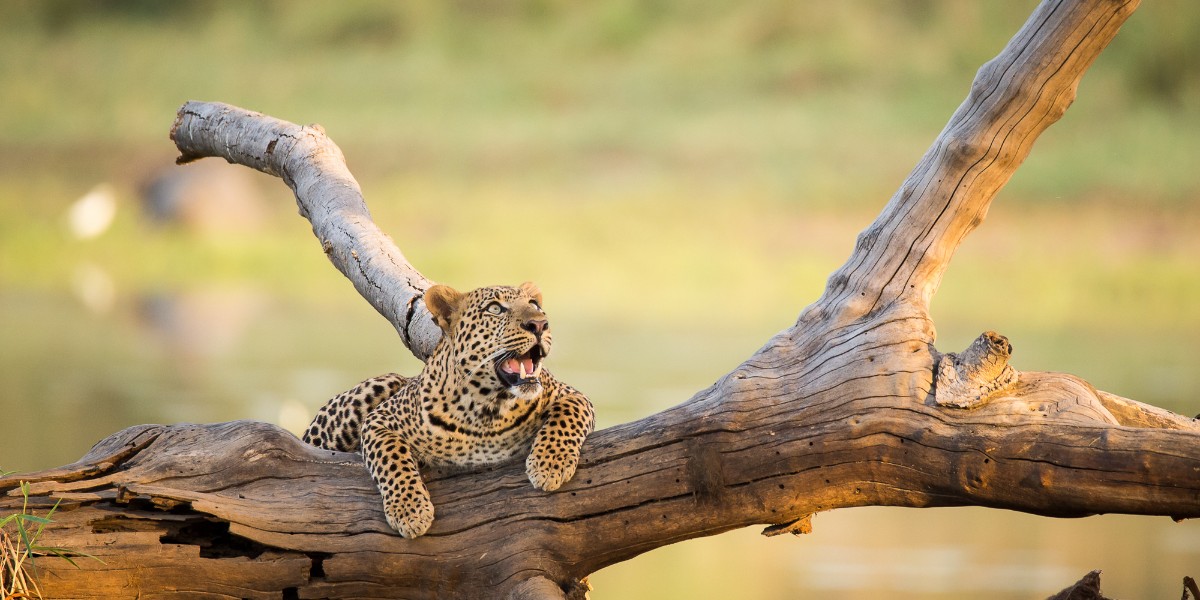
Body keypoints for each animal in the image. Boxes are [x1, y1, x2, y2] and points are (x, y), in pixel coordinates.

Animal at [302, 282, 595, 538]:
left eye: (535, 305)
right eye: (495, 308)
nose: (539, 324)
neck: (488, 409)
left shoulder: (571, 394)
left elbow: (566, 415)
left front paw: (550, 465)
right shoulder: (381, 420)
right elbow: (392, 456)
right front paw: (410, 511)